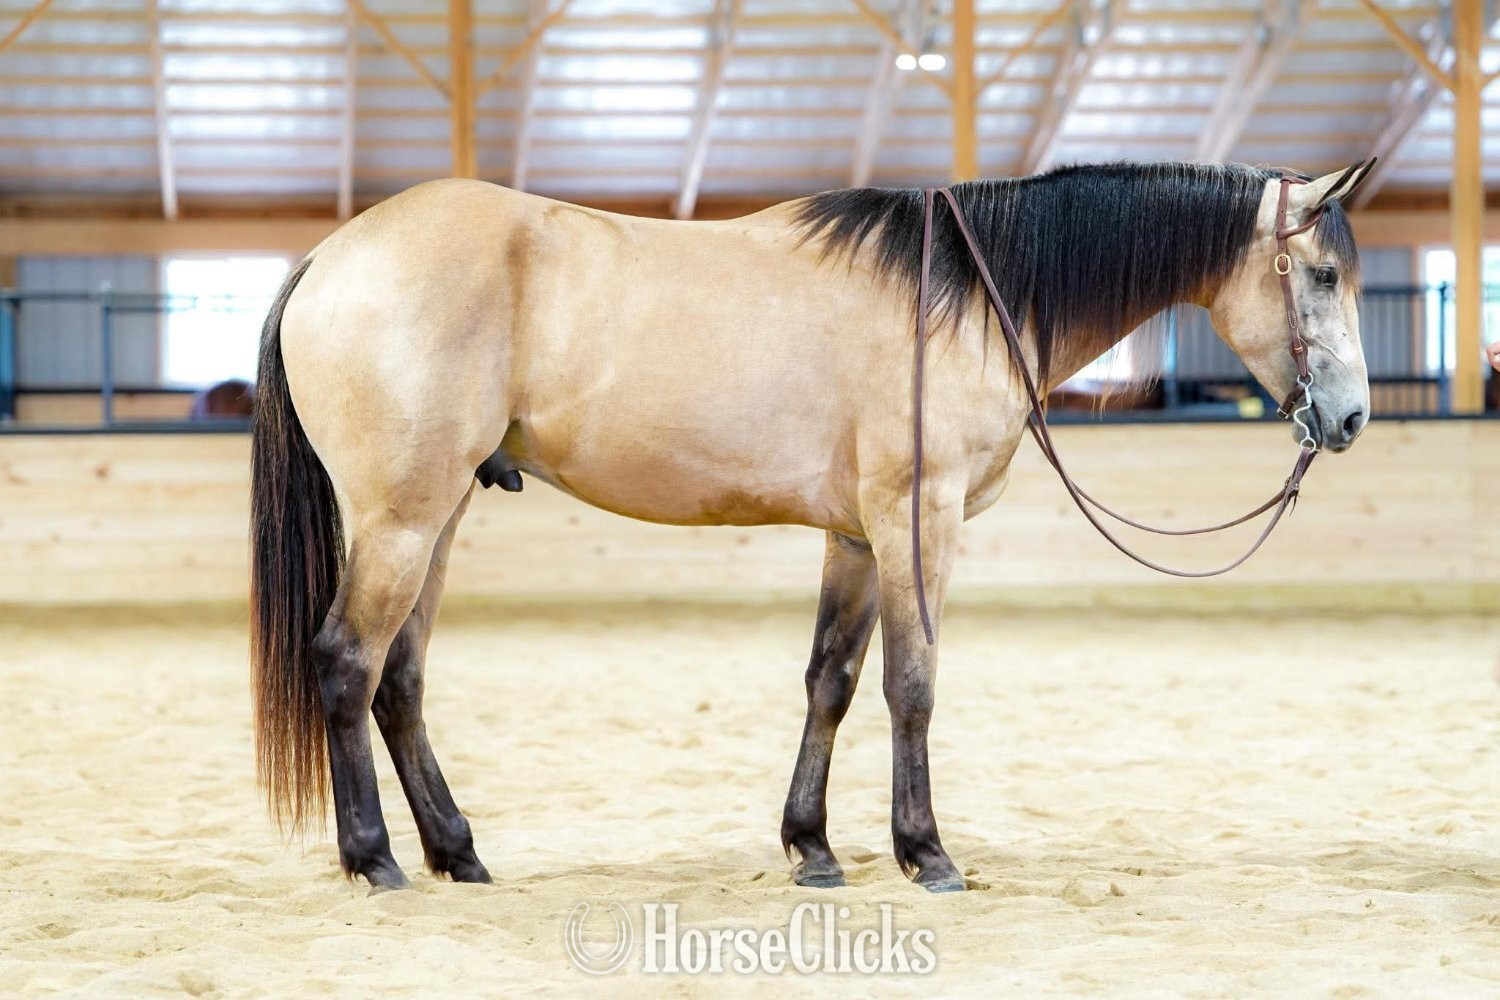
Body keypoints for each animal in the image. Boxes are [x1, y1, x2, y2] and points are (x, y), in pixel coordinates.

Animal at [250, 160, 1373, 894]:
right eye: (1322, 275)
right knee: (347, 662)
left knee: (399, 681)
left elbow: (830, 681)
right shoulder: (919, 519)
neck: (963, 292)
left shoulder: (858, 538)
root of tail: (330, 256)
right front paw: (926, 851)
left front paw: (814, 848)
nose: (1352, 418)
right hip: (401, 520)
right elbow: (912, 685)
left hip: (435, 519)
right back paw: (377, 860)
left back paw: (458, 851)